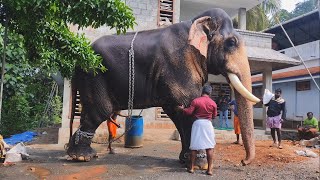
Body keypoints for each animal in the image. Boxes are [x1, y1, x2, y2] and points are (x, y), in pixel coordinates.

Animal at [67, 8, 260, 166]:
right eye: (231, 43)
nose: (243, 162)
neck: (194, 23)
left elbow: (177, 111)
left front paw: (185, 160)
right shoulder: (179, 64)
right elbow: (187, 108)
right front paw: (200, 164)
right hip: (93, 74)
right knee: (99, 111)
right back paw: (82, 157)